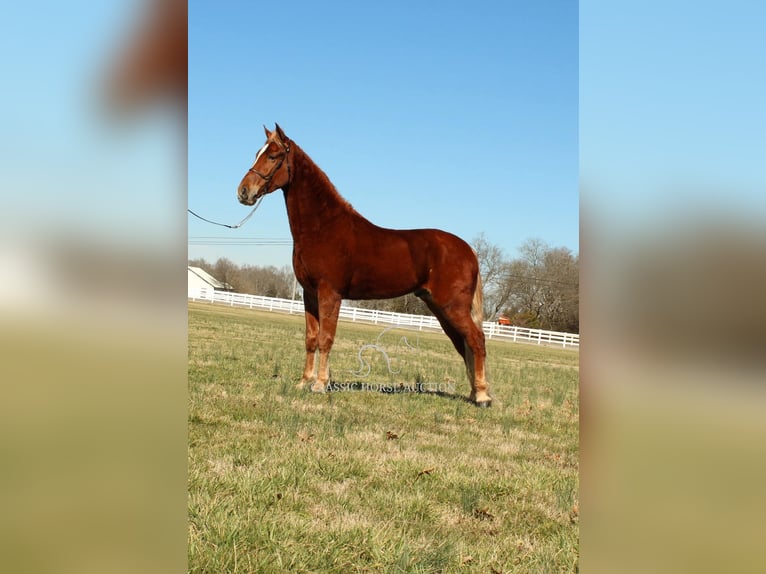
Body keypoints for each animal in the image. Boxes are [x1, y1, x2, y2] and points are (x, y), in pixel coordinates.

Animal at [237, 126, 496, 408]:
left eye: (273, 156)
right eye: (257, 153)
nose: (243, 192)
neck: (323, 226)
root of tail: (469, 250)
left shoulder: (330, 293)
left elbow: (326, 339)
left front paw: (320, 384)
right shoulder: (309, 294)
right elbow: (311, 338)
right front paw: (304, 381)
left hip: (452, 307)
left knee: (477, 340)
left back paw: (483, 395)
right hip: (440, 308)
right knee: (464, 344)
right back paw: (474, 393)